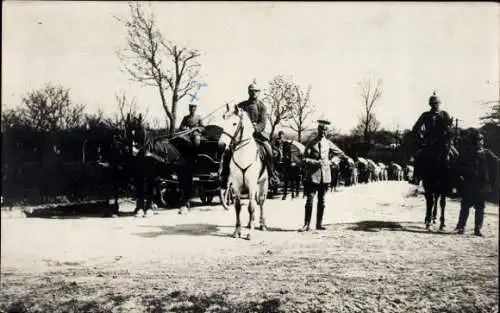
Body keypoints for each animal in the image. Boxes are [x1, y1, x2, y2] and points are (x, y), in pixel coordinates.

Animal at [217, 103, 268, 238]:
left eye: (234, 123)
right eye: (223, 121)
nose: (221, 145)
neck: (243, 155)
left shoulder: (252, 184)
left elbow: (251, 207)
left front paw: (250, 233)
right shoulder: (236, 184)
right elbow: (238, 206)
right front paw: (237, 231)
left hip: (263, 183)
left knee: (261, 202)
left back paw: (261, 224)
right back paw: (250, 223)